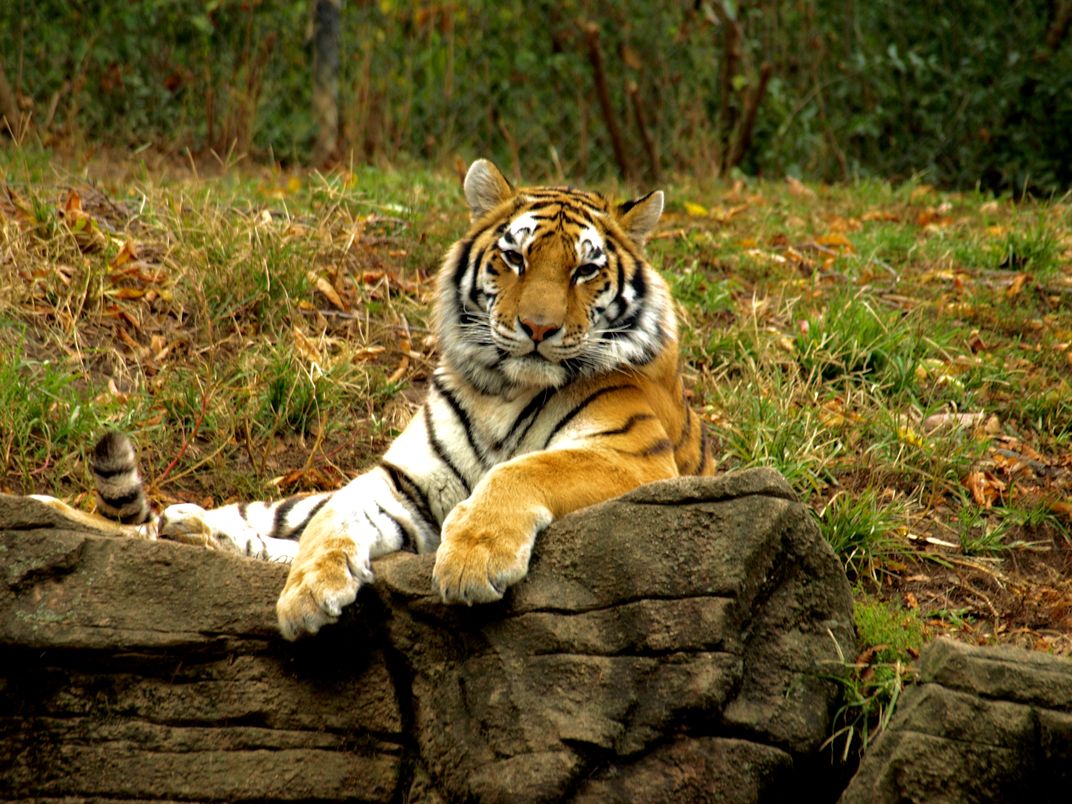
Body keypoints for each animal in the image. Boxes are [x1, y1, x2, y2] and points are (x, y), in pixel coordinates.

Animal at [35, 160, 711, 643]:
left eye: (584, 272)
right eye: (514, 256)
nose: (538, 329)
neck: (505, 386)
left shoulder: (635, 458)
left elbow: (526, 469)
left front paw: (472, 558)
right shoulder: (402, 482)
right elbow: (337, 517)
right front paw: (307, 593)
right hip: (280, 503)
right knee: (199, 524)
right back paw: (84, 512)